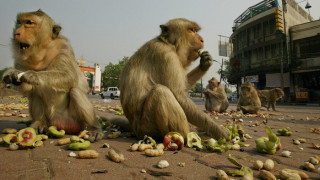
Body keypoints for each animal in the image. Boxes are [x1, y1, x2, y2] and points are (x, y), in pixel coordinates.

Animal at [2, 9, 102, 142]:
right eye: (19, 22)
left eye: (29, 22)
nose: (17, 33)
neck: (40, 53)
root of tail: (58, 124)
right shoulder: (20, 58)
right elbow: (28, 88)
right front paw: (11, 74)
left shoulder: (64, 48)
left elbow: (69, 77)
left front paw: (34, 75)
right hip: (50, 120)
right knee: (34, 94)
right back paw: (39, 124)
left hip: (75, 120)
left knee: (75, 92)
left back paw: (94, 128)